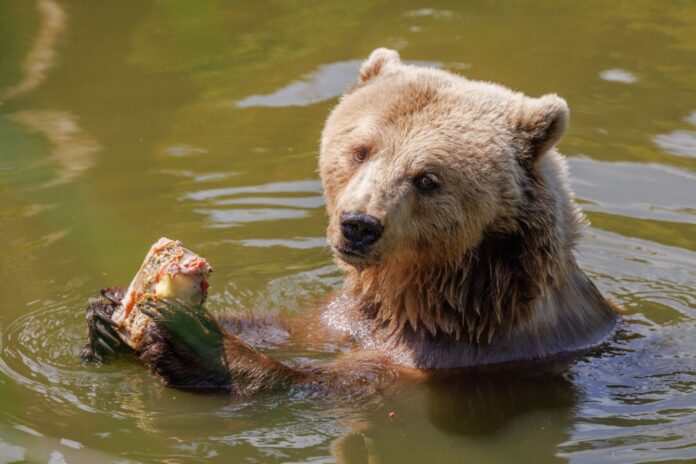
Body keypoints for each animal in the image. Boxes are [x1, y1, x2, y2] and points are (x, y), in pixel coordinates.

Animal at [82, 48, 619, 395]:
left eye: (427, 178)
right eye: (360, 149)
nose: (358, 224)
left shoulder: (471, 356)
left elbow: (339, 382)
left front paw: (193, 343)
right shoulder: (350, 316)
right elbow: (299, 327)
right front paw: (108, 311)